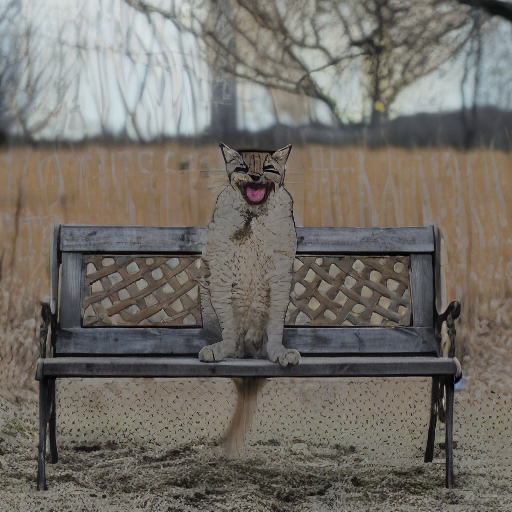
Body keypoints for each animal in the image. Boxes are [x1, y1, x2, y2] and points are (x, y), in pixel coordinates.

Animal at [197, 144, 300, 366]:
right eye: (243, 168)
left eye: (267, 168)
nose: (254, 176)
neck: (253, 215)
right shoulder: (221, 274)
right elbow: (228, 323)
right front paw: (222, 349)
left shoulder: (280, 276)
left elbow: (275, 326)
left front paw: (279, 353)